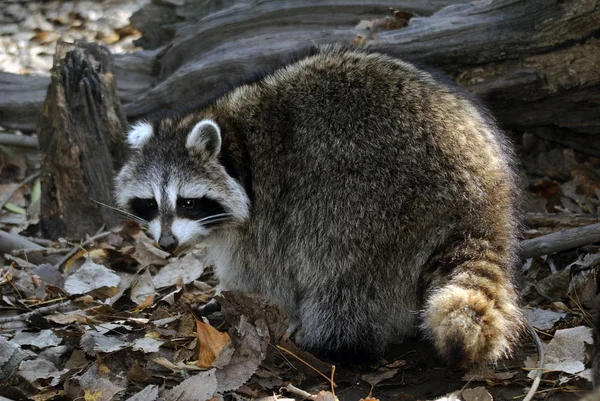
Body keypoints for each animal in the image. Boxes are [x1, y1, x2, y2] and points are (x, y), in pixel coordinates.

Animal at [115, 44, 524, 366]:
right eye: (150, 203)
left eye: (188, 201)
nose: (167, 243)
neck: (235, 143)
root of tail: (485, 192)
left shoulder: (269, 208)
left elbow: (265, 271)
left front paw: (246, 301)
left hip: (376, 195)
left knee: (342, 267)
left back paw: (338, 340)